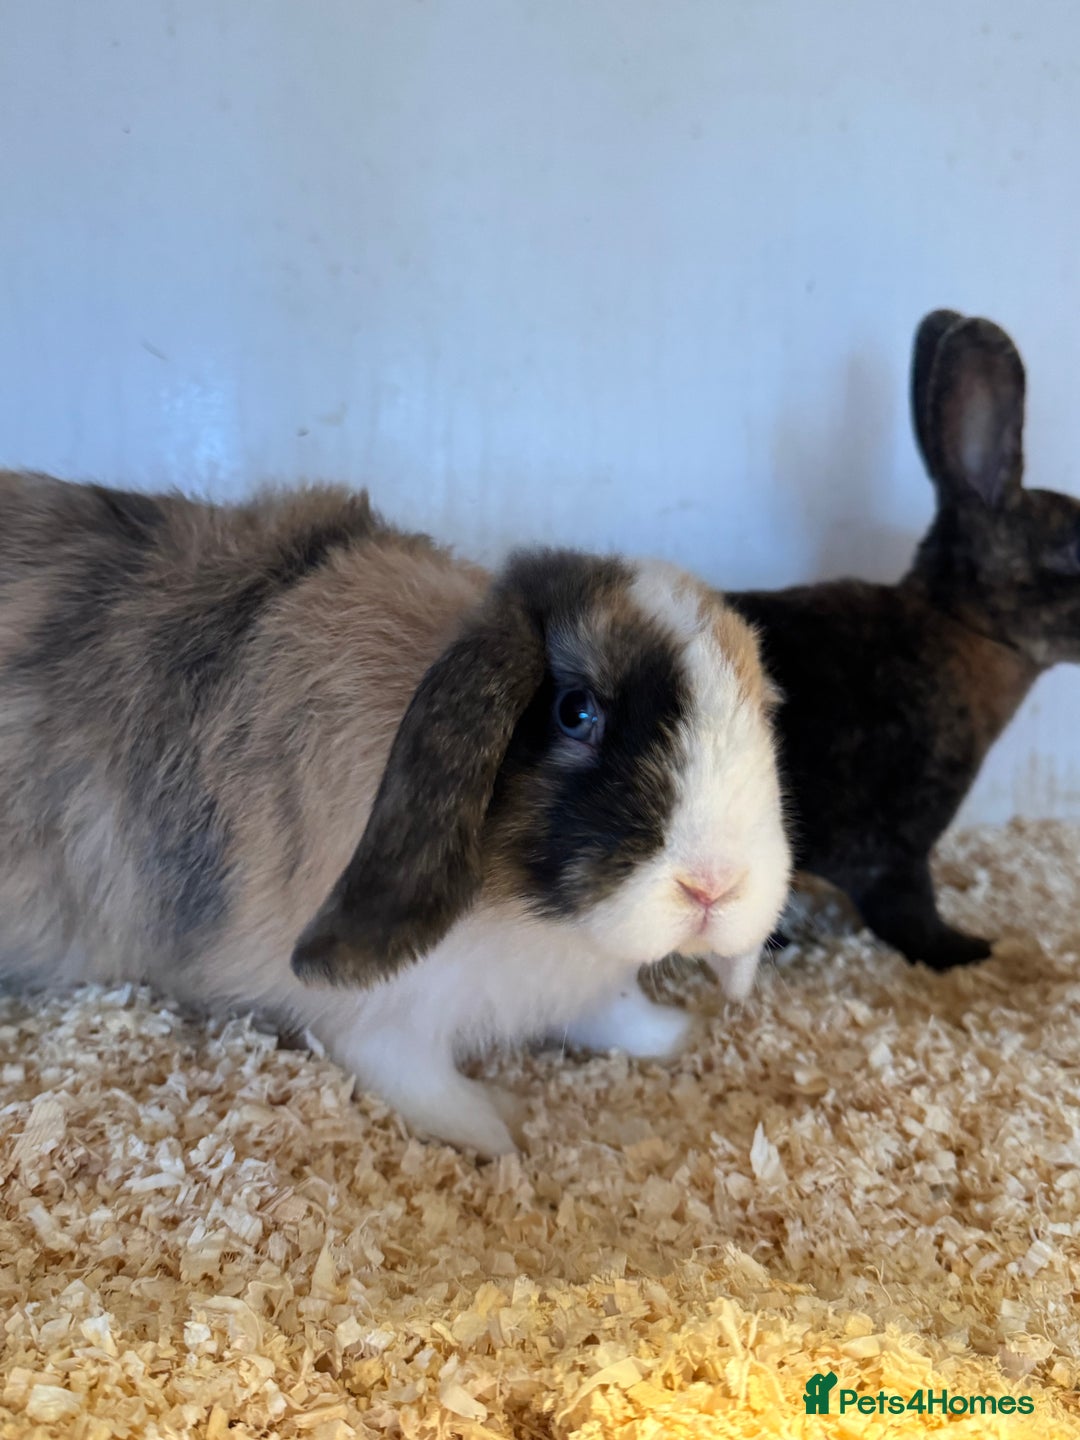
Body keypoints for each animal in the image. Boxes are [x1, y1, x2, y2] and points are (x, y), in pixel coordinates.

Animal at [0, 472, 791, 1154]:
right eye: (576, 712)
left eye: (762, 703)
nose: (715, 885)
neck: (530, 920)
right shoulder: (383, 1016)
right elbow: (417, 1077)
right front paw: (504, 1127)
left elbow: (615, 1008)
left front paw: (676, 1034)